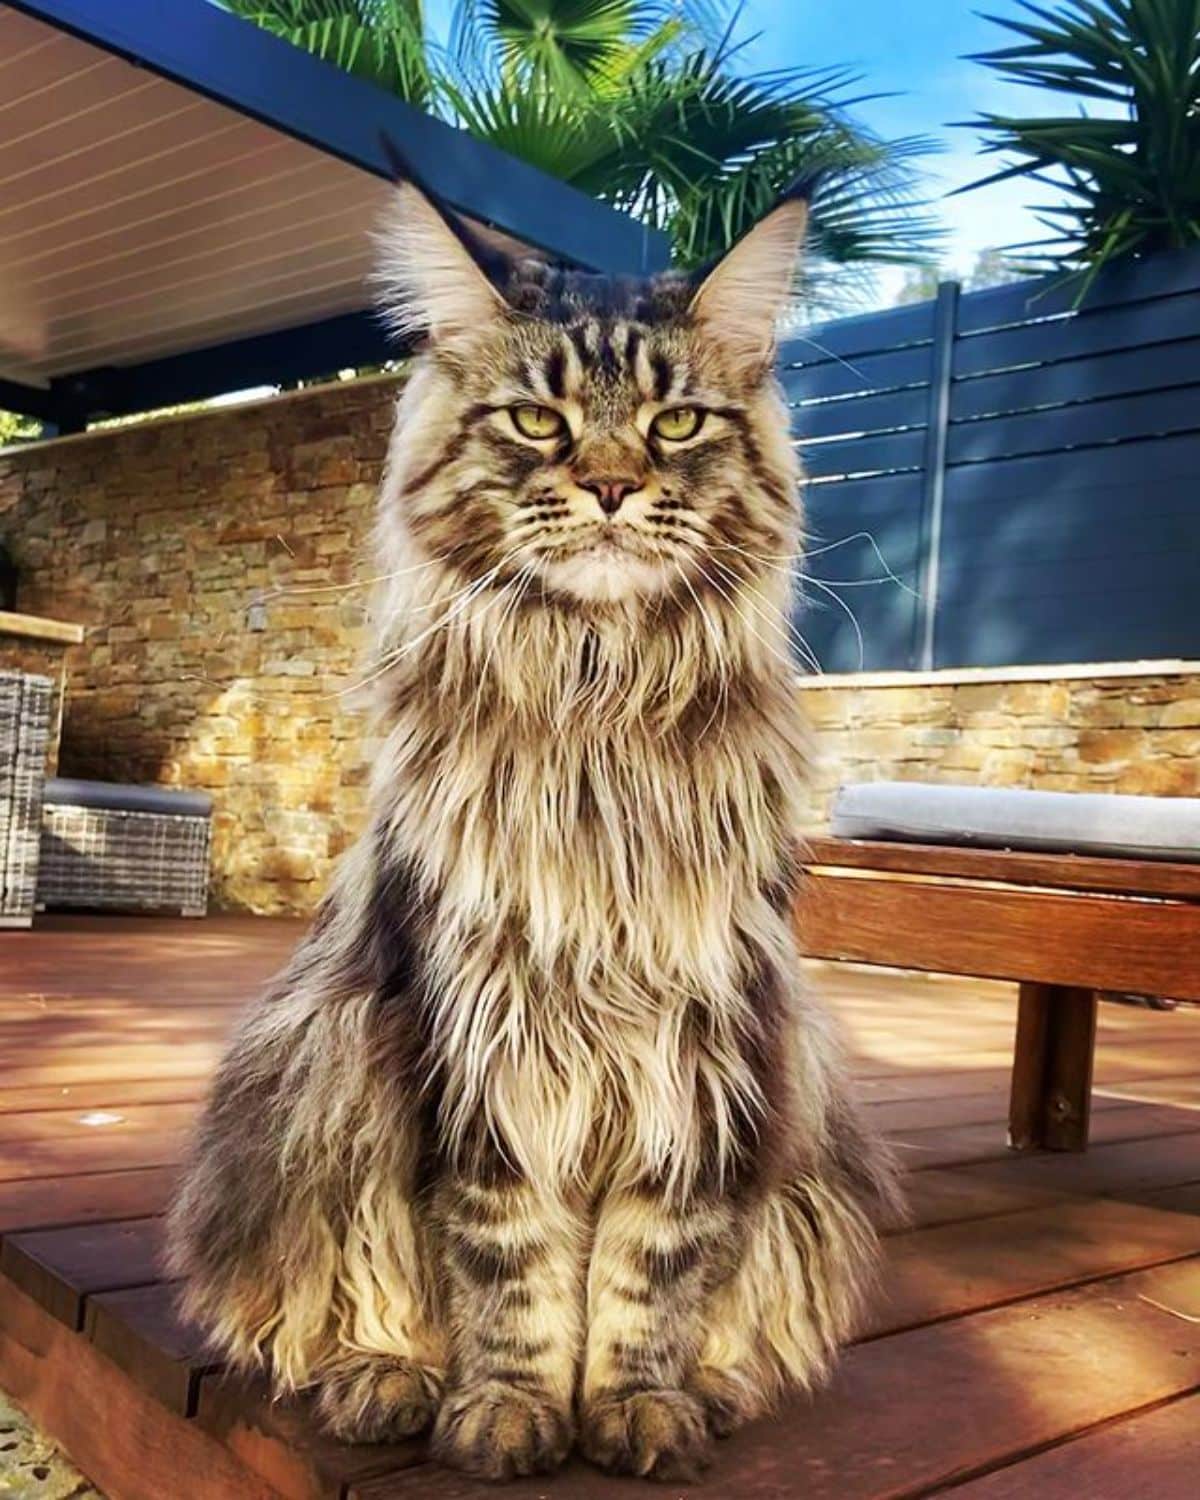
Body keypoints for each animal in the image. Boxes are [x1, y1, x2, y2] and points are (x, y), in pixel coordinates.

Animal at [166, 170, 900, 1482]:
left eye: (676, 425)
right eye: (537, 422)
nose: (611, 485)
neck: (595, 701)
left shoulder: (701, 1043)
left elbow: (654, 1268)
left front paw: (636, 1405)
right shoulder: (470, 1034)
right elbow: (506, 1265)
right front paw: (508, 1409)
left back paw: (714, 1391)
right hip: (321, 1071)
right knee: (351, 1295)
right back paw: (387, 1380)